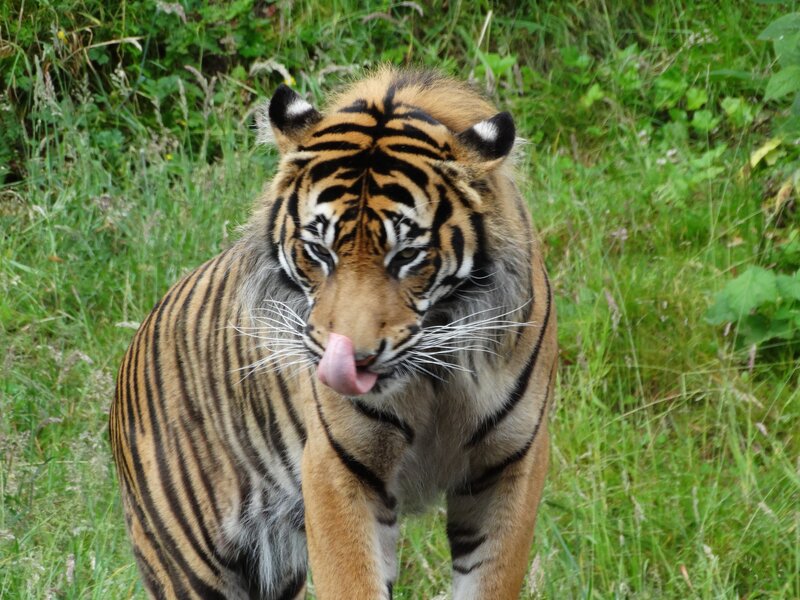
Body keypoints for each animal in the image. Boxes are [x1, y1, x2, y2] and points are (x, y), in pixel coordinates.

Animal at [109, 67, 557, 600]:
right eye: (319, 251)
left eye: (407, 256)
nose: (352, 361)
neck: (436, 380)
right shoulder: (336, 468)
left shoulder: (511, 464)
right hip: (195, 562)